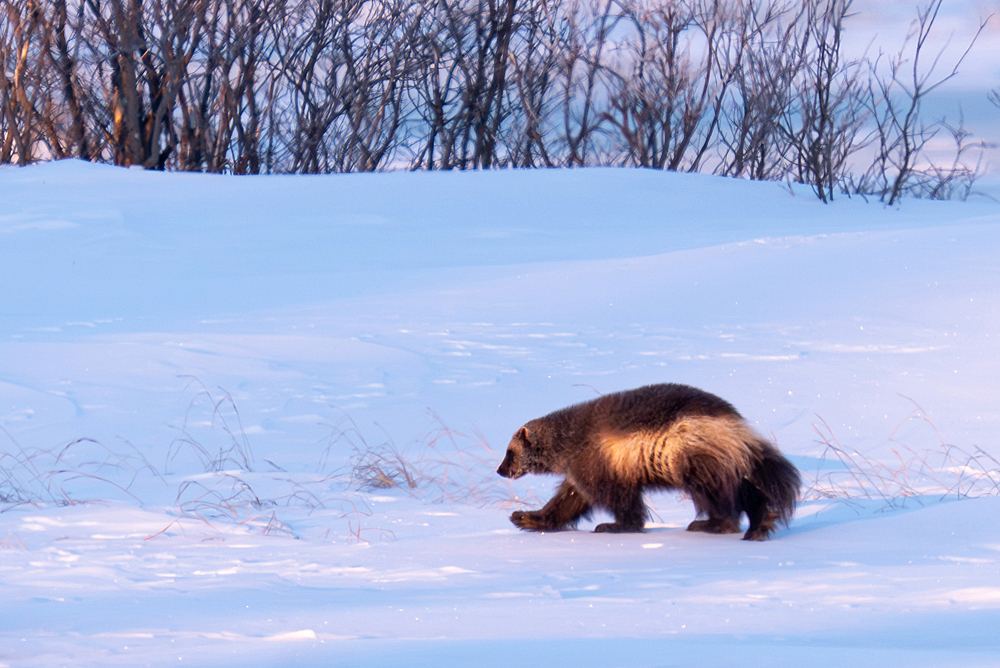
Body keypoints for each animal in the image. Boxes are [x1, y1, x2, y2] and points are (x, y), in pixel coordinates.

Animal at [496, 383, 800, 541]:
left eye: (510, 452)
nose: (500, 470)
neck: (568, 438)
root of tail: (738, 425)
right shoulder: (581, 471)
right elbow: (567, 501)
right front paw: (527, 518)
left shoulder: (597, 464)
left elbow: (619, 499)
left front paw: (616, 526)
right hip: (729, 461)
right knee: (749, 490)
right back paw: (759, 525)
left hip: (696, 457)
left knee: (719, 494)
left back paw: (715, 524)